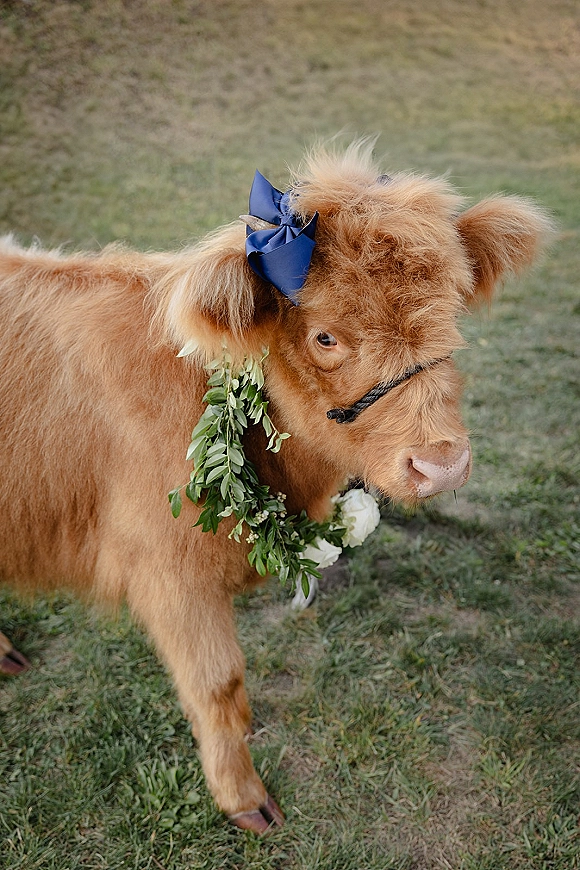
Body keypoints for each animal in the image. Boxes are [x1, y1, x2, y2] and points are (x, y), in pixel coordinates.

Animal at [0, 144, 550, 832]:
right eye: (325, 336)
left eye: (449, 312)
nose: (442, 464)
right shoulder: (170, 575)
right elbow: (220, 686)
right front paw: (244, 798)